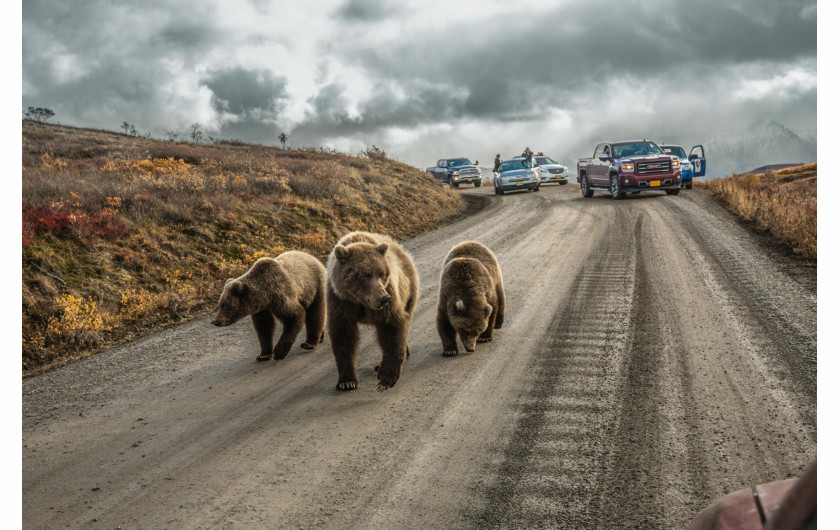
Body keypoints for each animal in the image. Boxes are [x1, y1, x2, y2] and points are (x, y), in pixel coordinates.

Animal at [328, 230, 420, 388]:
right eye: (365, 276)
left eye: (381, 273)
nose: (384, 298)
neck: (360, 301)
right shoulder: (340, 301)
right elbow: (343, 335)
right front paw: (347, 381)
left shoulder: (389, 293)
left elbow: (391, 326)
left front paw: (386, 376)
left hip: (408, 289)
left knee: (405, 320)